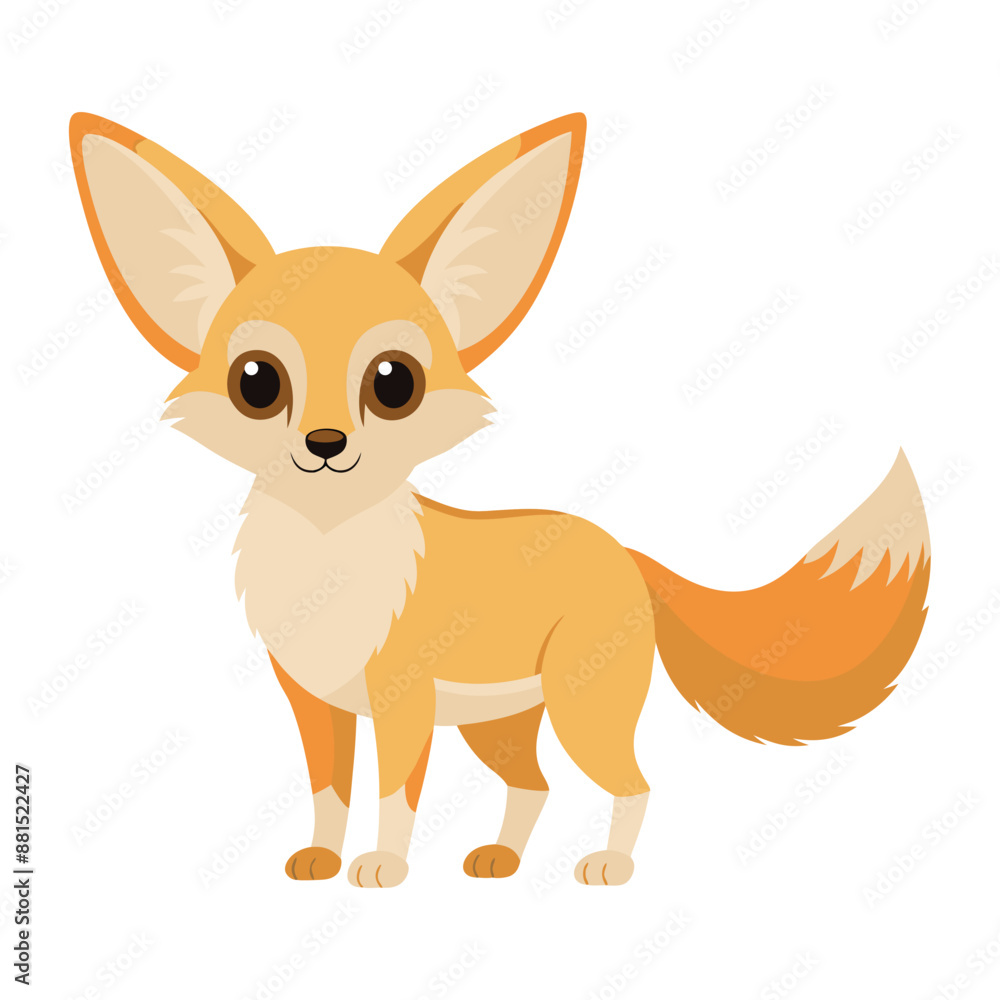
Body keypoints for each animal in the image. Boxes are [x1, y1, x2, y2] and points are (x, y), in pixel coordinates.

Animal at [70, 111, 930, 887]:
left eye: (393, 384)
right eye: (257, 383)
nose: (325, 445)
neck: (328, 561)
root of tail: (621, 549)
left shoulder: (404, 701)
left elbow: (393, 795)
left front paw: (383, 868)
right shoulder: (315, 704)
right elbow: (328, 793)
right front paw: (320, 860)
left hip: (582, 708)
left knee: (633, 783)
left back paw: (612, 867)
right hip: (503, 724)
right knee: (534, 784)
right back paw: (503, 861)